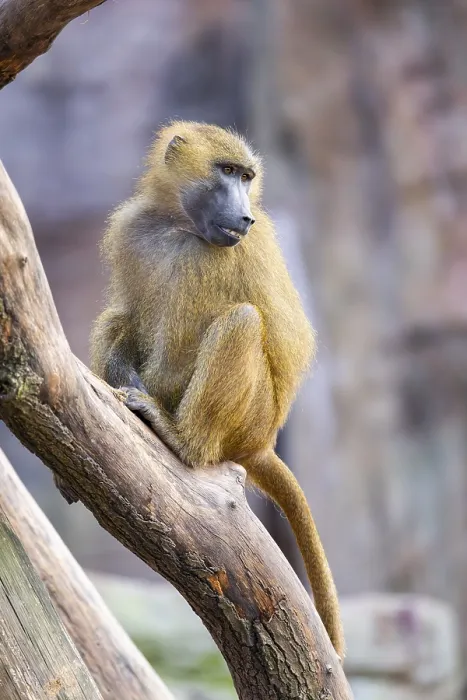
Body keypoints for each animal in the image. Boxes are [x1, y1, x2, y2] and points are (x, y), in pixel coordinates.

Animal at [90, 121, 345, 659]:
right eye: (227, 171)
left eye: (247, 177)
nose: (245, 215)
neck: (178, 225)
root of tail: (262, 442)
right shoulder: (132, 229)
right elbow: (128, 315)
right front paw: (120, 374)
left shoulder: (222, 252)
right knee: (118, 318)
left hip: (250, 417)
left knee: (241, 321)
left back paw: (182, 439)